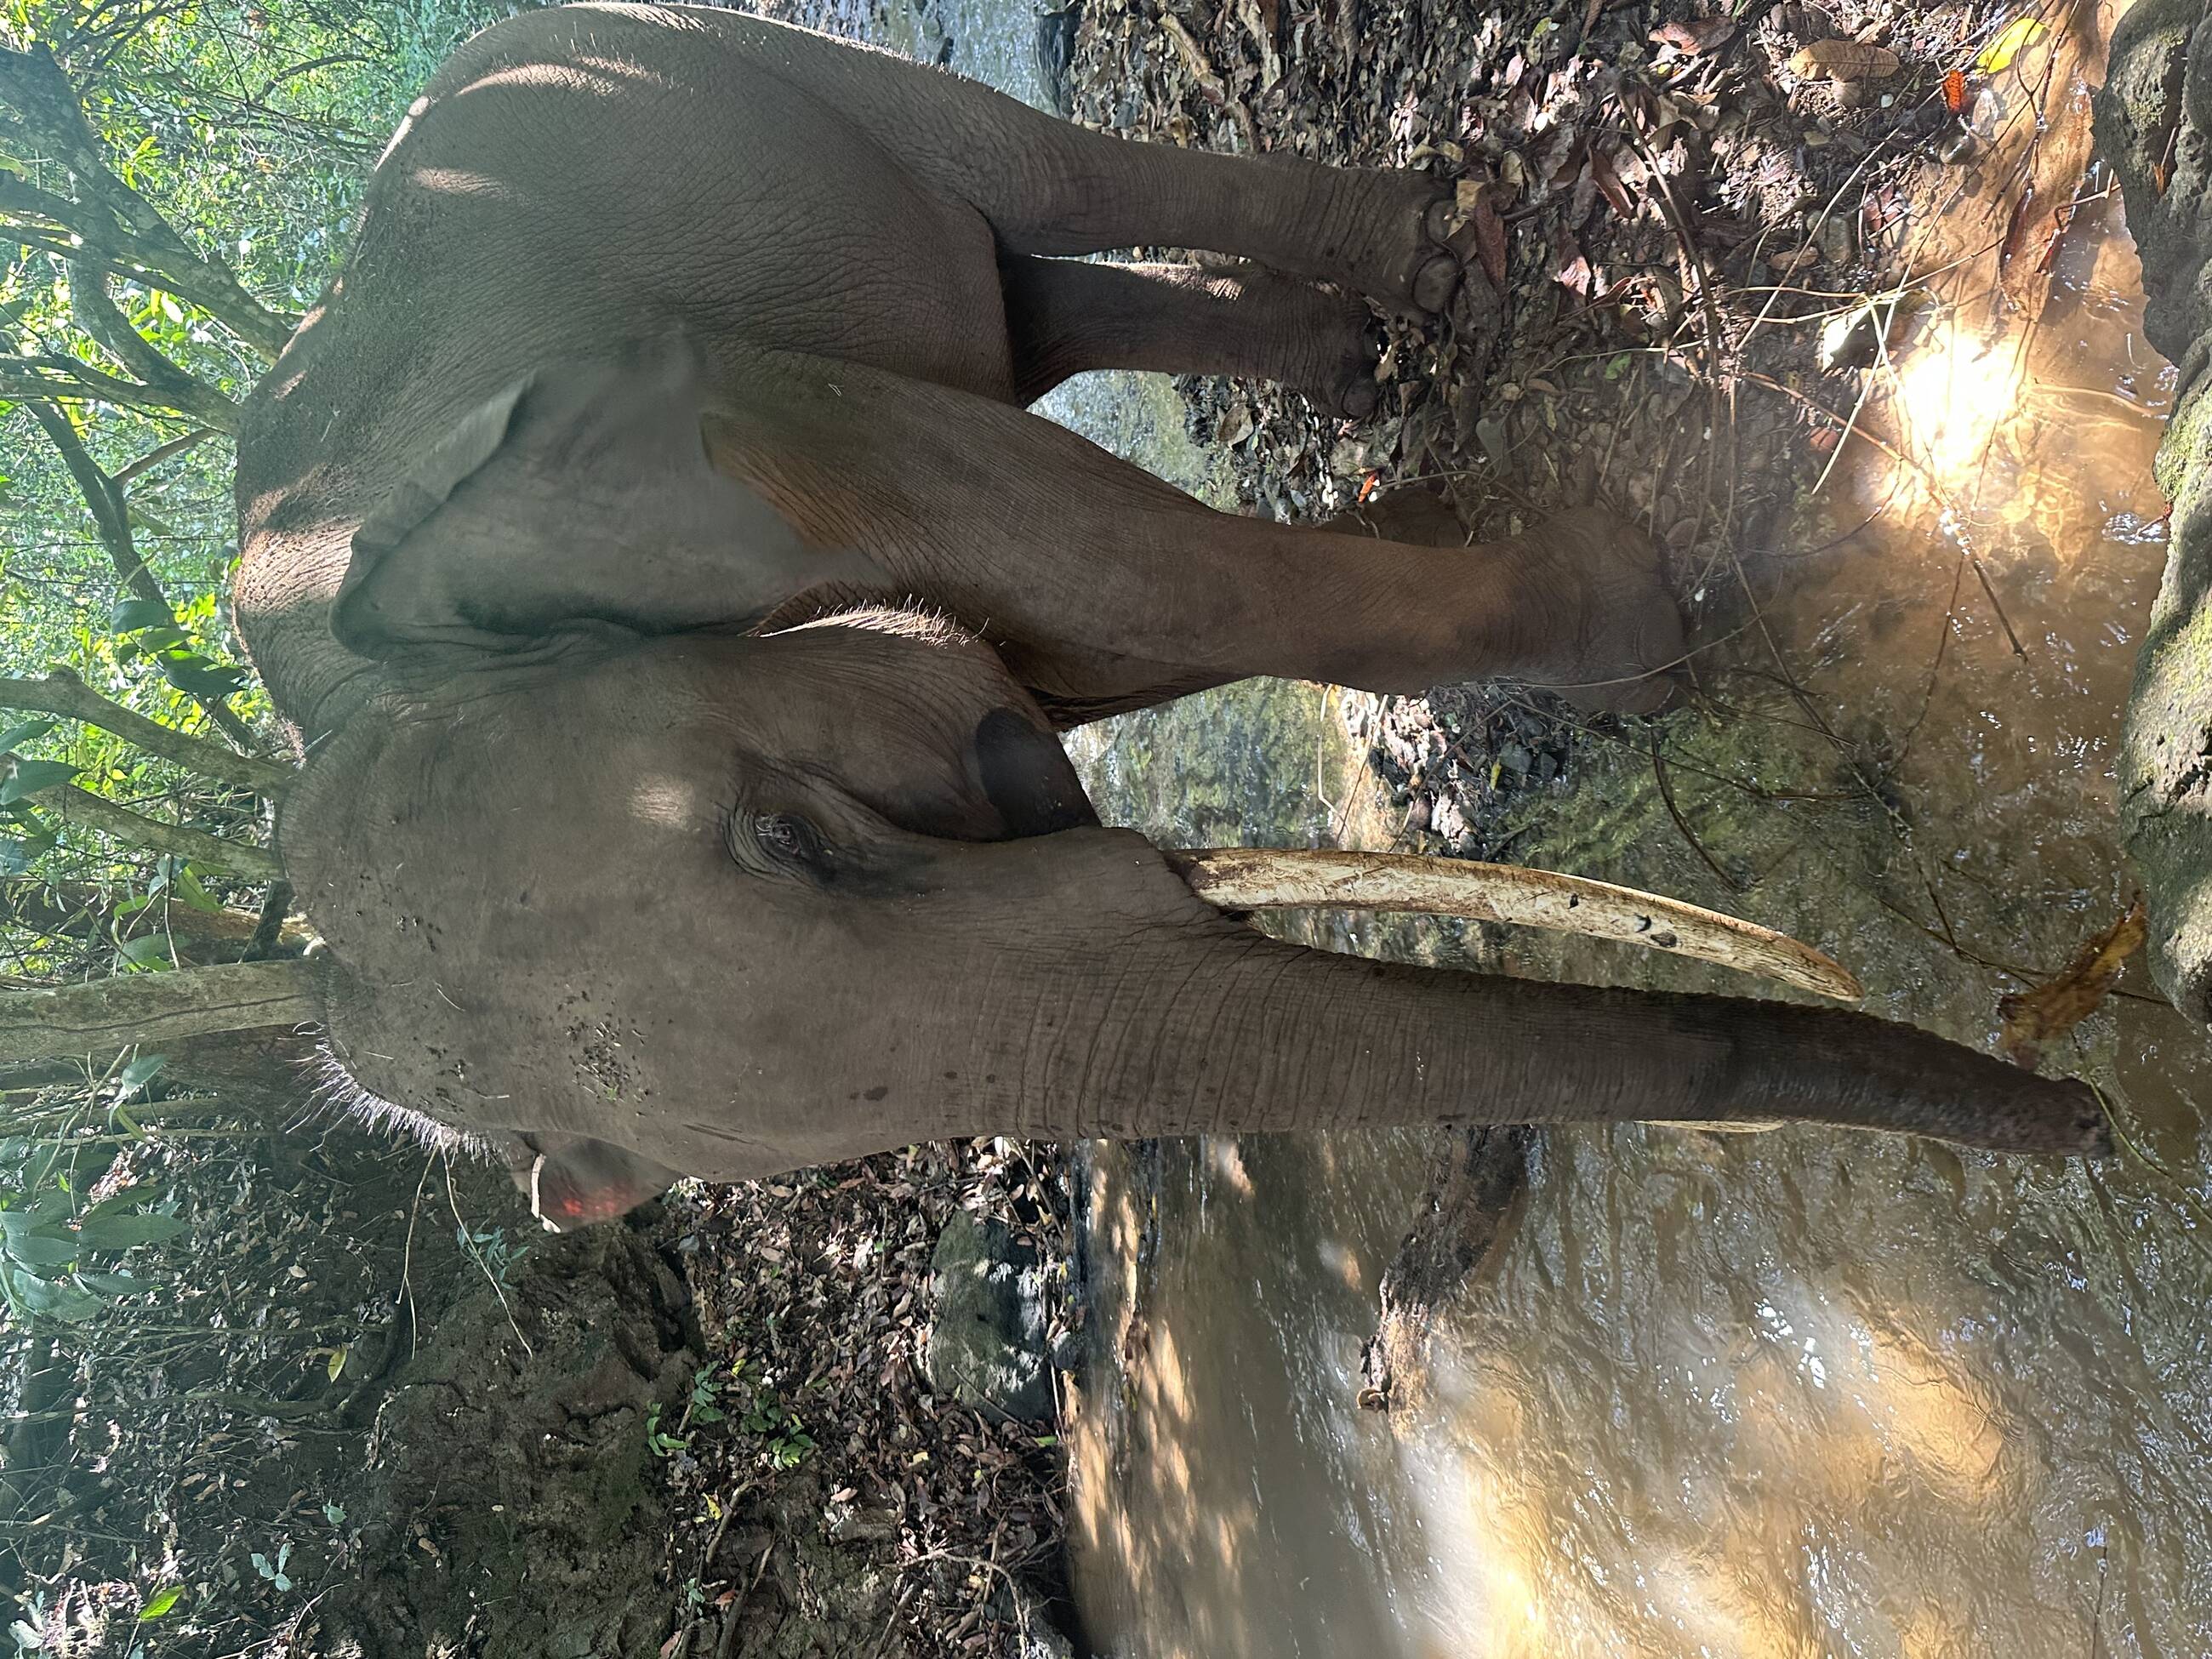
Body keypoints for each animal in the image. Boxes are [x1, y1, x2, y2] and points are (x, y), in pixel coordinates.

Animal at [233, 2, 2107, 1230]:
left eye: (788, 843)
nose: (2084, 1114)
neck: (361, 689)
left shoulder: (726, 429)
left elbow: (1095, 556)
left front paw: (1631, 607)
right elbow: (1085, 638)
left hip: (712, 55)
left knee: (1028, 181)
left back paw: (1431, 269)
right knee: (1020, 305)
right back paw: (1362, 350)